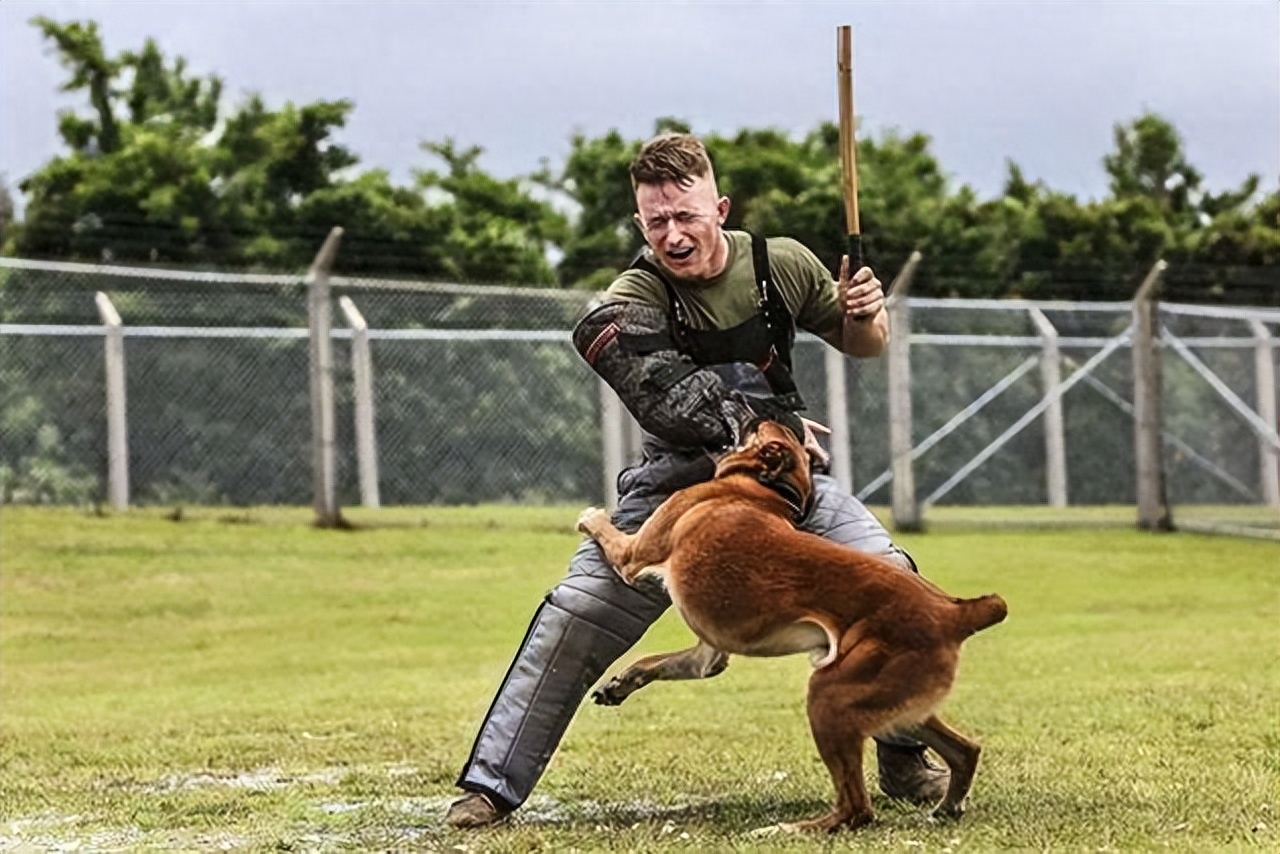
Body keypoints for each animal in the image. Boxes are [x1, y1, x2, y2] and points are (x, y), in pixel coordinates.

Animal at [576, 419, 1003, 834]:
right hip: (899, 707)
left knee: (856, 809)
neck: (759, 487)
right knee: (965, 751)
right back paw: (946, 808)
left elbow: (607, 533)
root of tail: (953, 613)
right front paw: (620, 684)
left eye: (756, 426)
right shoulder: (706, 657)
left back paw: (786, 829)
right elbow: (652, 663)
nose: (744, 410)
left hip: (830, 698)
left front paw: (590, 516)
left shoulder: (632, 555)